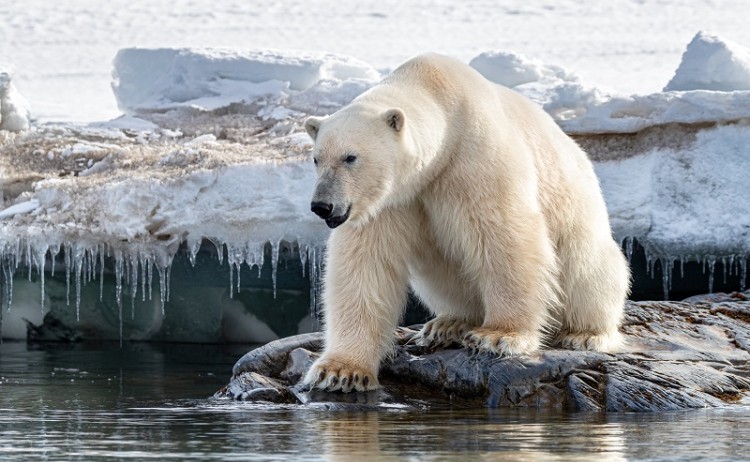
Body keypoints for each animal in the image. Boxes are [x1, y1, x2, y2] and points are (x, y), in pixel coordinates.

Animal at [301, 53, 630, 393]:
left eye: (350, 157)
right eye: (316, 158)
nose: (323, 206)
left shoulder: (474, 159)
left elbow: (504, 234)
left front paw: (498, 336)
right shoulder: (389, 201)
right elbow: (366, 263)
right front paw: (340, 371)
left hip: (580, 221)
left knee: (586, 270)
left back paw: (585, 333)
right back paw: (448, 323)